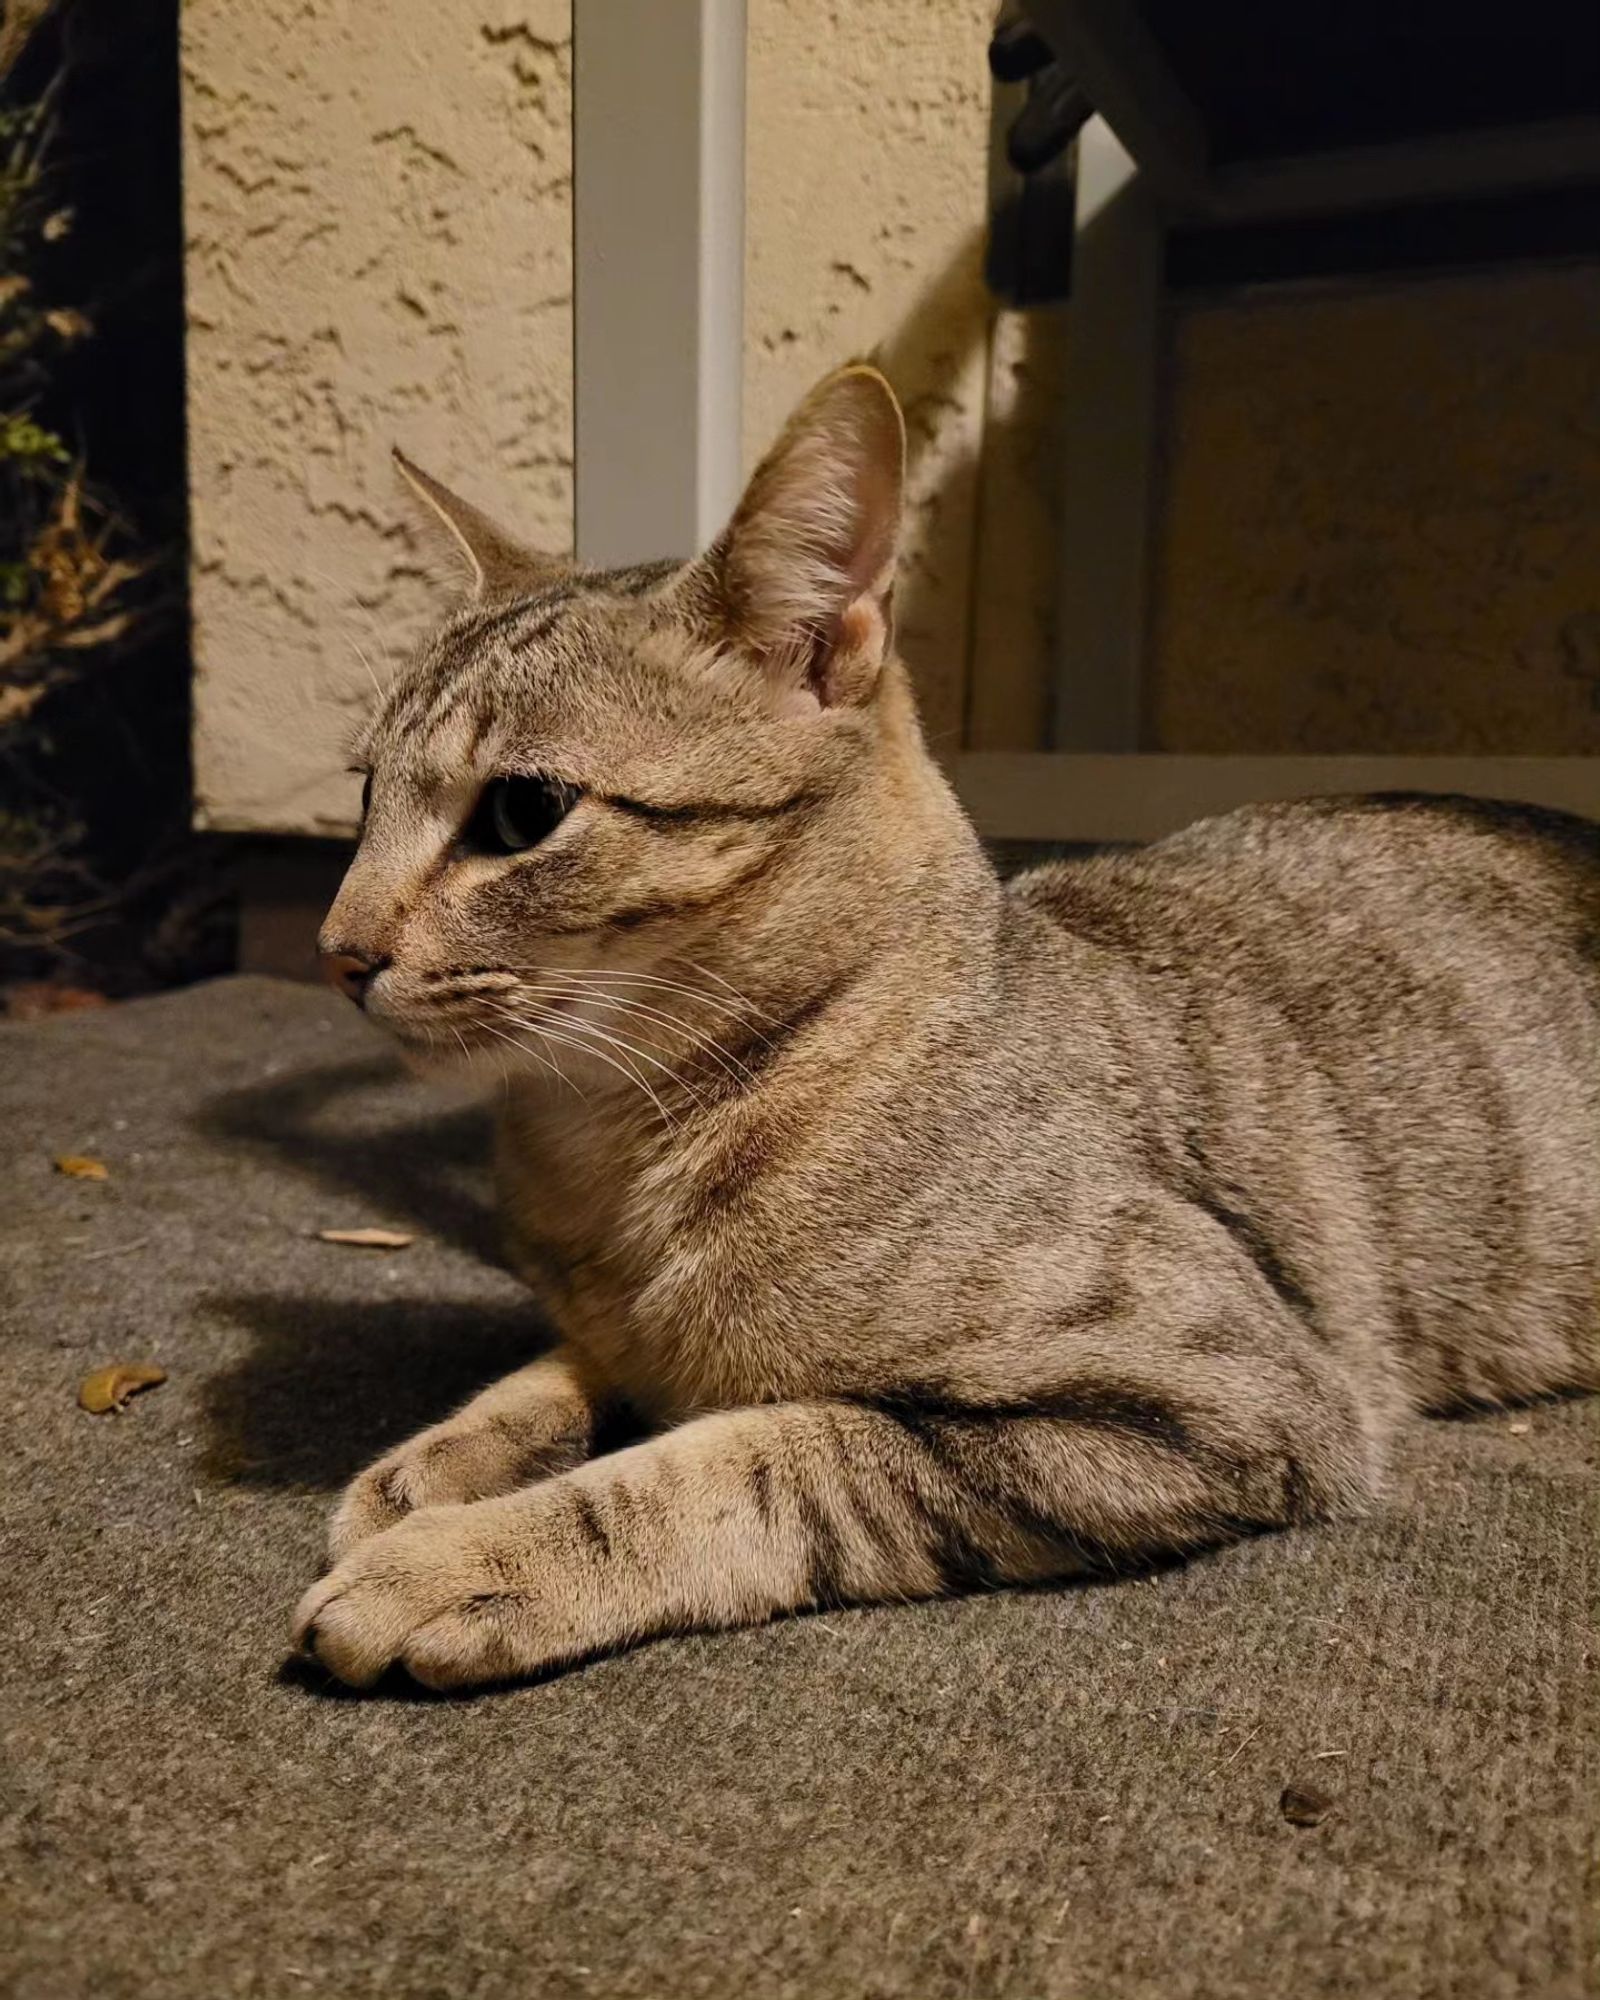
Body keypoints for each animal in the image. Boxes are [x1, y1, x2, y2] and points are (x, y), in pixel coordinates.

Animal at [294, 364, 1592, 1688]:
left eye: (521, 810)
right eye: (367, 792)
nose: (336, 950)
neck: (612, 1151)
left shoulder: (1221, 1392)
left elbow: (759, 1455)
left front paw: (470, 1553)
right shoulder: (614, 1322)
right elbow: (565, 1363)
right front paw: (441, 1458)